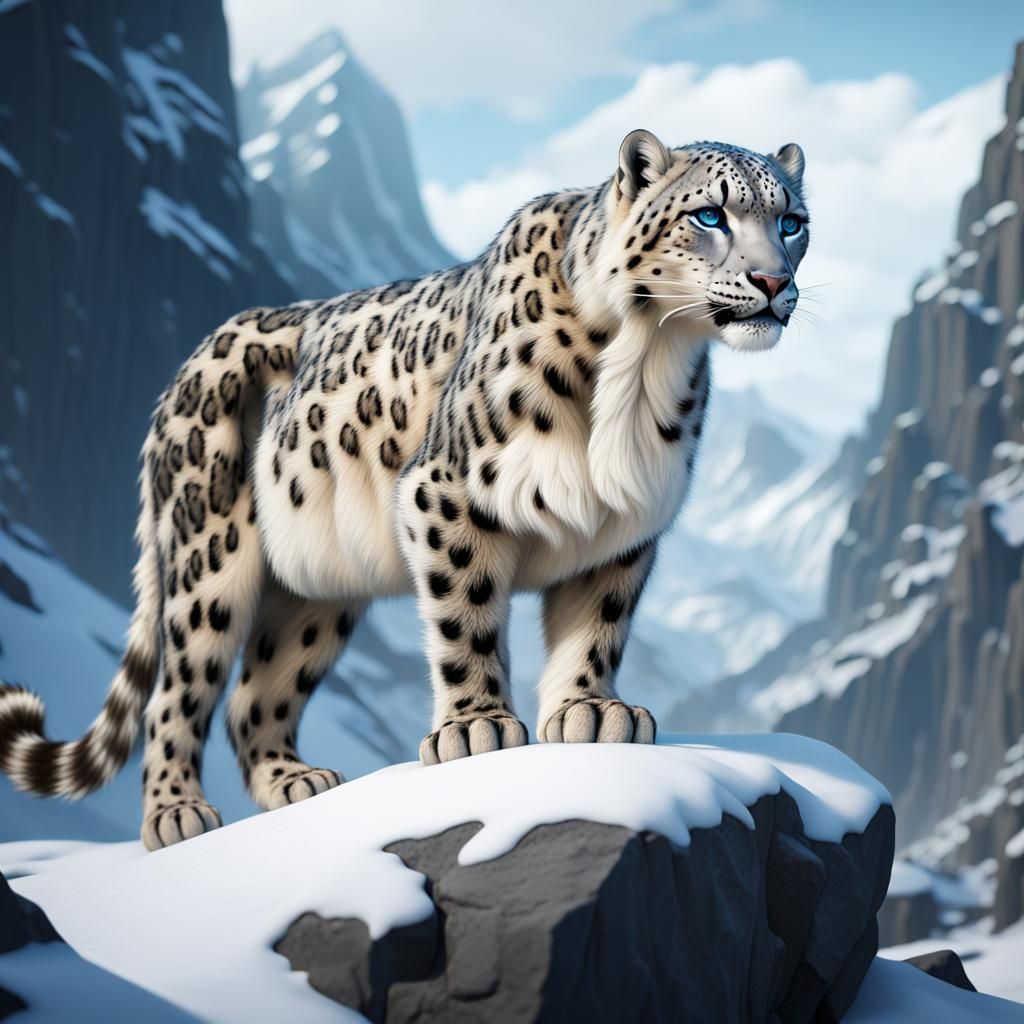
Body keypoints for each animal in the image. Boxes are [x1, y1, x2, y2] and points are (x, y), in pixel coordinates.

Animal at [0, 130, 809, 850]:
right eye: (710, 215)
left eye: (792, 221)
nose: (774, 282)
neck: (646, 364)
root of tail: (182, 370)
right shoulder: (446, 491)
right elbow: (465, 615)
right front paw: (475, 728)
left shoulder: (623, 525)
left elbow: (596, 627)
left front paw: (591, 713)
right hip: (210, 554)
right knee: (179, 689)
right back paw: (176, 814)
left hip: (314, 598)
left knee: (256, 694)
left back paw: (296, 781)